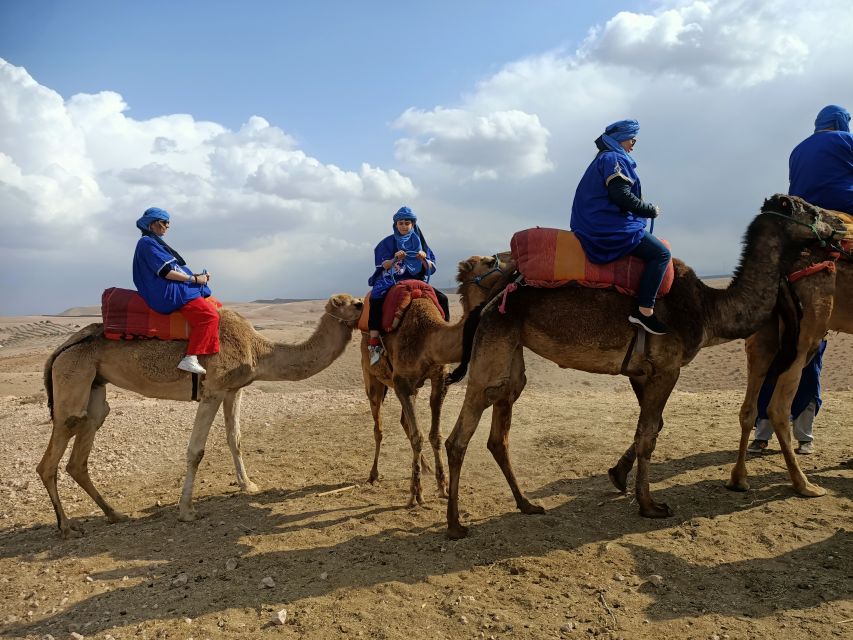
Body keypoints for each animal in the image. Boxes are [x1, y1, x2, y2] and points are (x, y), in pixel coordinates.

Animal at [39, 294, 362, 536]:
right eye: (355, 304)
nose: (365, 305)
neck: (258, 349)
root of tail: (58, 350)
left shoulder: (234, 390)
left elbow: (235, 439)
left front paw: (249, 486)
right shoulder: (213, 389)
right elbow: (196, 451)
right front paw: (186, 511)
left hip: (94, 385)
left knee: (81, 449)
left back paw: (114, 514)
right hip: (72, 375)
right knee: (54, 451)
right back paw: (66, 526)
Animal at [360, 252, 512, 508]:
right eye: (490, 261)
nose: (517, 265)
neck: (428, 338)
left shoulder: (438, 380)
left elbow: (433, 434)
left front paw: (442, 486)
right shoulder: (402, 382)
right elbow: (417, 435)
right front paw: (415, 494)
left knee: (404, 422)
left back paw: (426, 467)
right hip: (373, 379)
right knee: (378, 425)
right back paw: (373, 474)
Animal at [724, 240, 852, 496]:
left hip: (764, 335)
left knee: (748, 409)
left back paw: (738, 479)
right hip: (804, 334)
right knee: (778, 408)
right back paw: (804, 485)